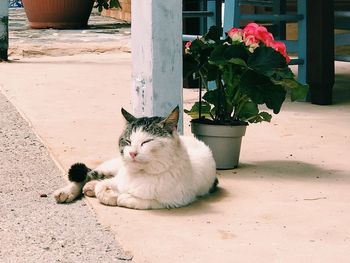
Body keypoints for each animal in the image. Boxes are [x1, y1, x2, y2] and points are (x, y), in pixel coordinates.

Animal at [54, 105, 219, 210]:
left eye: (146, 142)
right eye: (128, 141)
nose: (132, 153)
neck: (140, 175)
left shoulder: (176, 200)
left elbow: (144, 200)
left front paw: (122, 197)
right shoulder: (117, 179)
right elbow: (102, 188)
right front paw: (109, 194)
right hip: (111, 166)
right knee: (86, 176)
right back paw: (67, 192)